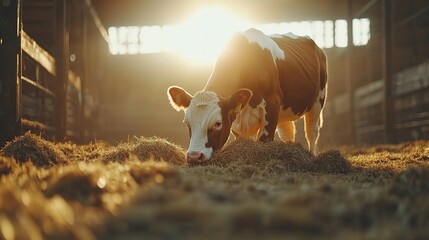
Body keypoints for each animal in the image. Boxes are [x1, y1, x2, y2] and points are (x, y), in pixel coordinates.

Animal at [167, 28, 328, 163]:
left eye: (218, 123)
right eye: (187, 123)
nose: (194, 156)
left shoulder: (272, 104)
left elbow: (264, 139)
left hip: (318, 100)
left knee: (312, 131)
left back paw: (312, 156)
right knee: (287, 132)